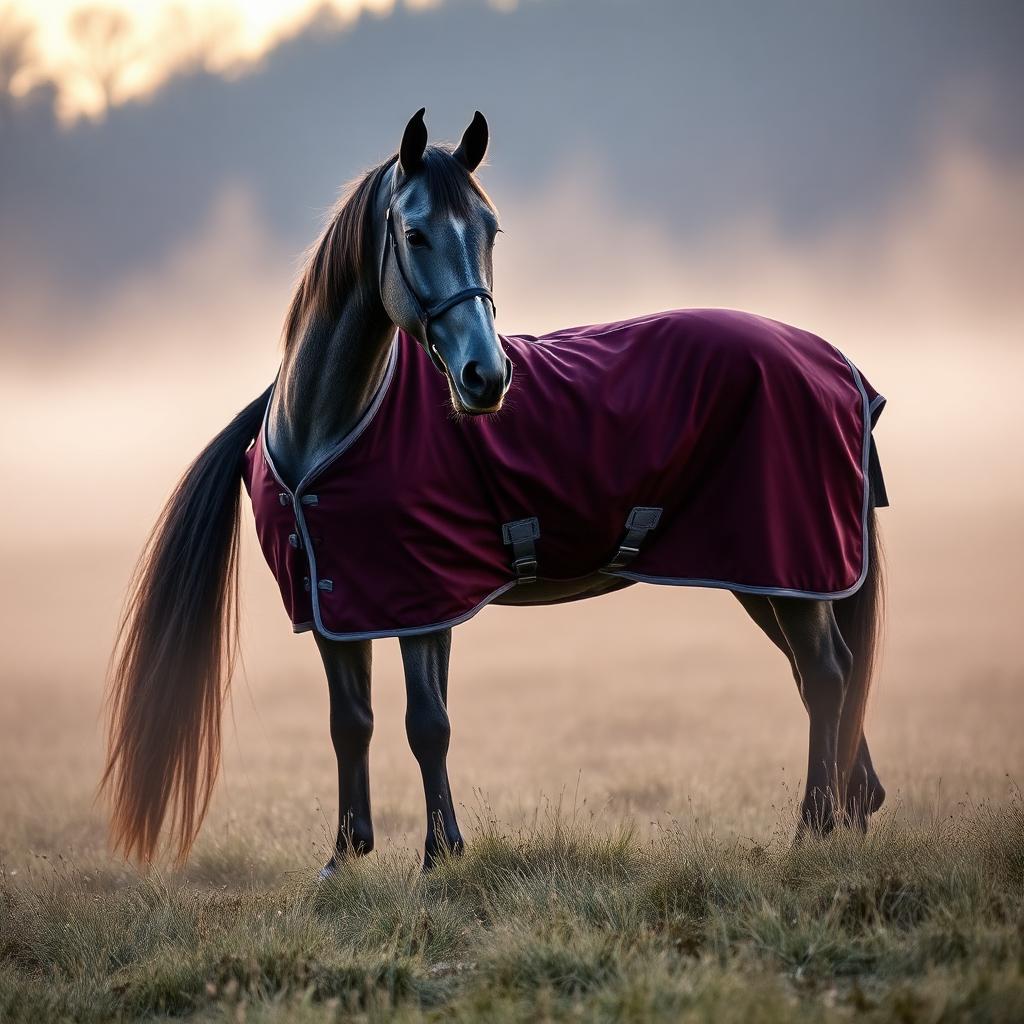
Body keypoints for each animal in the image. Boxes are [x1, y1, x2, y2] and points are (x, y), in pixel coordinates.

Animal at [102, 109, 887, 873]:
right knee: (826, 674)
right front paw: (345, 857)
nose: (486, 376)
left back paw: (812, 832)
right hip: (768, 574)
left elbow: (427, 725)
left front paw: (439, 857)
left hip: (788, 563)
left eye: (490, 230)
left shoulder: (421, 600)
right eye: (414, 233)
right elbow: (350, 724)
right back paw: (849, 811)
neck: (328, 432)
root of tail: (833, 363)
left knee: (824, 674)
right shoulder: (335, 607)